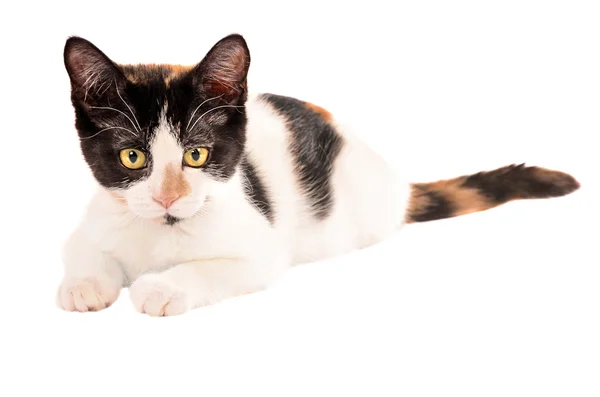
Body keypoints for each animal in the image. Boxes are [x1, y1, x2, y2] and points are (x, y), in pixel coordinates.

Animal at [57, 33, 580, 316]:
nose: (167, 198)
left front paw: (162, 287)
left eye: (197, 155)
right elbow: (83, 250)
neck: (162, 230)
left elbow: (212, 267)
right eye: (132, 158)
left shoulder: (260, 248)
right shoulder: (98, 217)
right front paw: (85, 284)